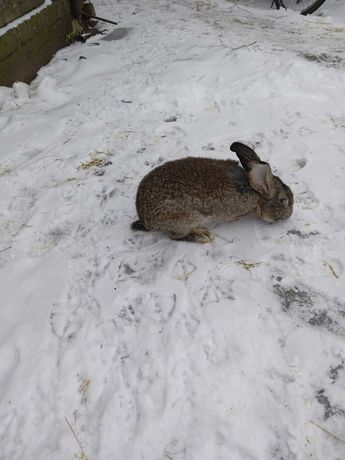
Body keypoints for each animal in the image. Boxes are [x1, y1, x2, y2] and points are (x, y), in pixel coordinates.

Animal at [130, 141, 292, 243]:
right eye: (283, 200)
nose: (290, 214)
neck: (255, 194)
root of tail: (146, 221)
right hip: (188, 218)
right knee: (174, 236)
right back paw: (201, 236)